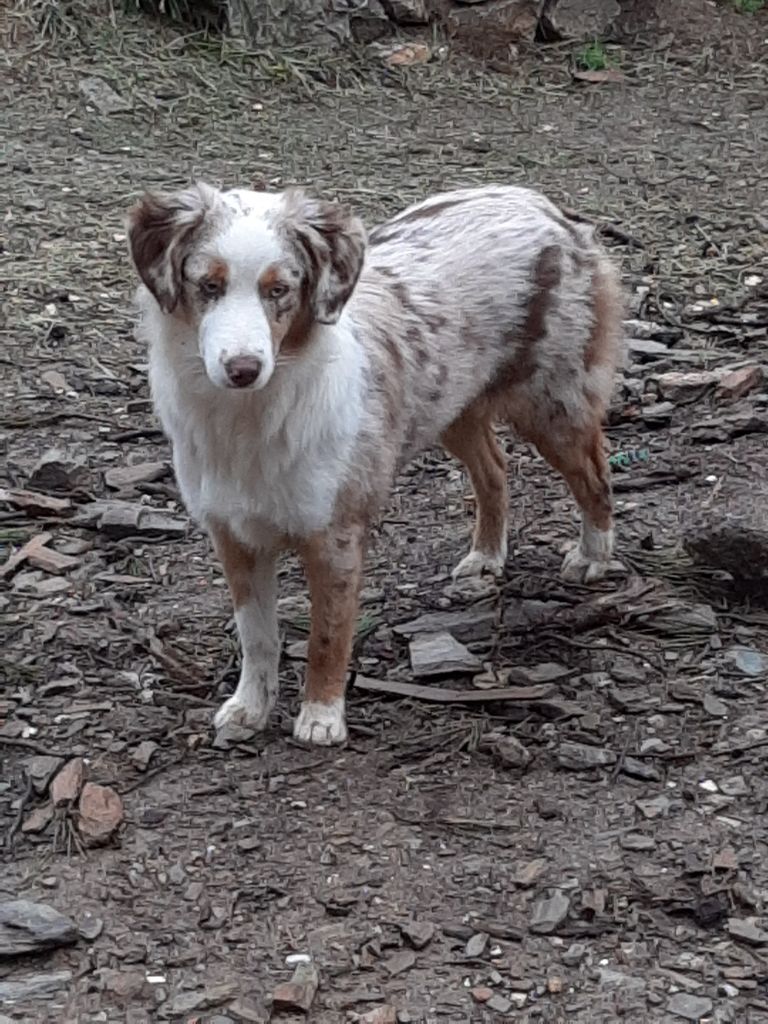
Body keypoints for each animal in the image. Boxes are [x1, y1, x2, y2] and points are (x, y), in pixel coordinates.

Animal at [128, 184, 626, 745]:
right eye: (208, 285)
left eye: (279, 290)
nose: (243, 369)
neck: (249, 417)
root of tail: (539, 202)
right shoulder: (234, 534)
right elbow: (256, 636)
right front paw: (250, 707)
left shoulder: (336, 536)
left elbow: (327, 634)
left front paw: (321, 717)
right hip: (450, 405)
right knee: (495, 470)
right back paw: (486, 555)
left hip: (555, 406)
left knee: (595, 475)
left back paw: (593, 555)